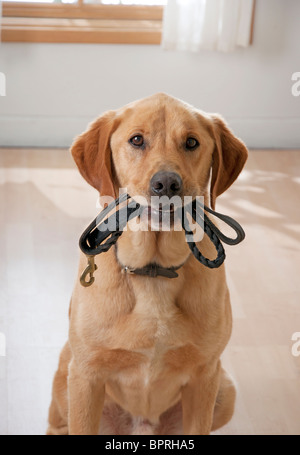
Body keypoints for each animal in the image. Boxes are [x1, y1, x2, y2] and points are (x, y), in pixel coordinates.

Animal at [47, 91, 248, 434]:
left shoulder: (205, 376)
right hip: (66, 377)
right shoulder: (86, 376)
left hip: (225, 390)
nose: (166, 184)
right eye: (137, 140)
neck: (154, 271)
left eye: (191, 142)